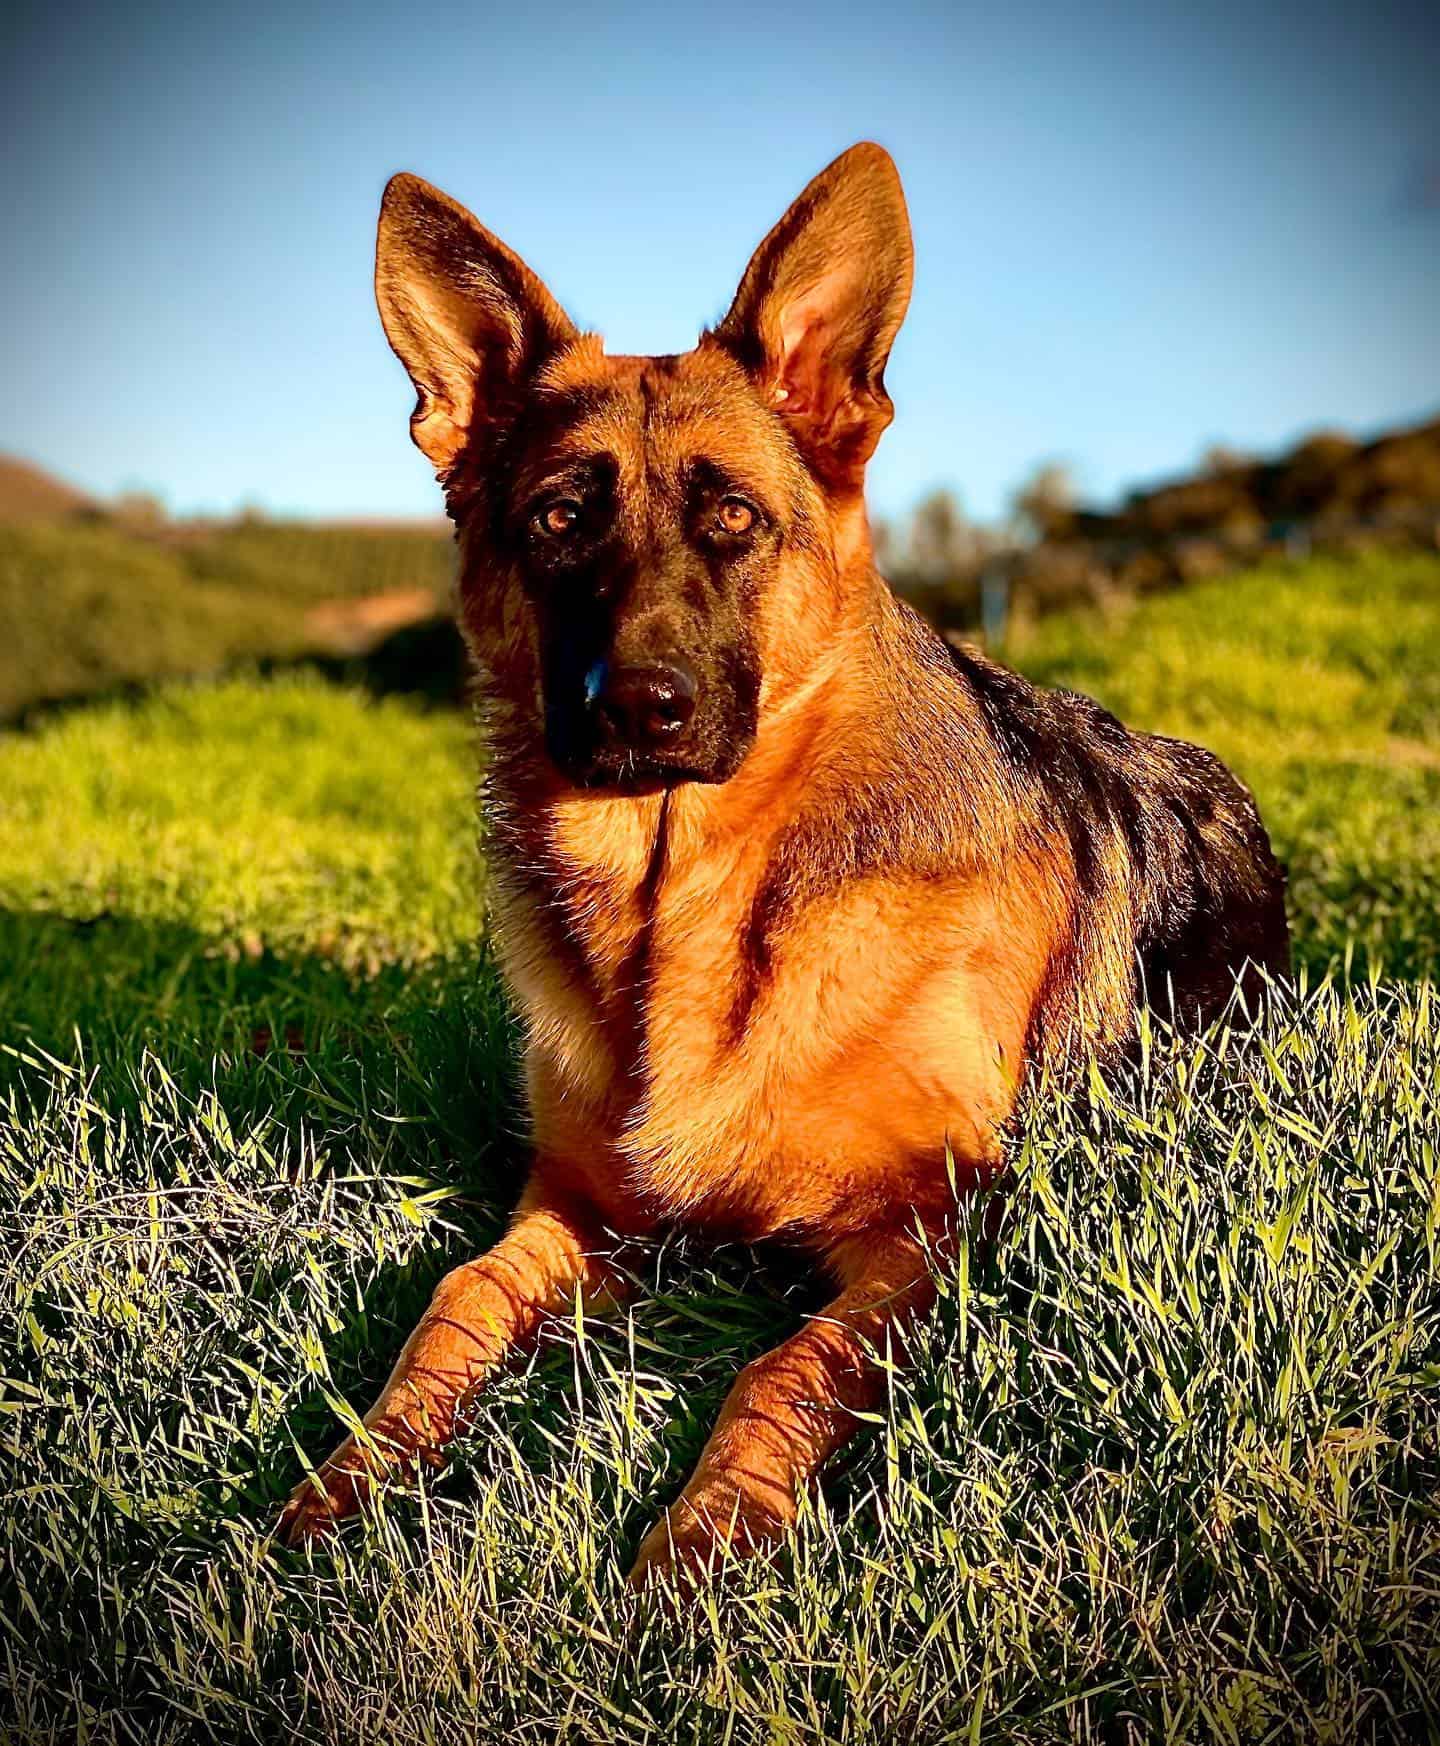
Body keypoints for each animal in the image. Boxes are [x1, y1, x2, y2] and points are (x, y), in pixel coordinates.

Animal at [275, 143, 1284, 1578]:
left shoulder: (931, 1226)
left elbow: (782, 1370)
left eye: (737, 519)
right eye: (558, 518)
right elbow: (453, 1304)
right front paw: (346, 1477)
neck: (685, 909)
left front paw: (699, 1545)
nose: (638, 710)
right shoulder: (569, 1210)